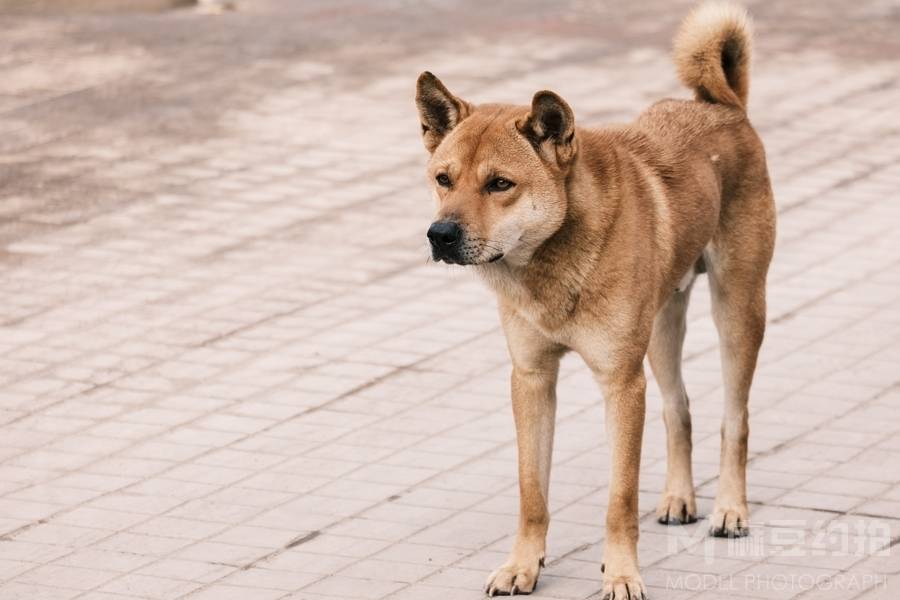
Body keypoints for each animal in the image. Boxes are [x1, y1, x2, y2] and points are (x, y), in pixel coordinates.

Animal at [414, 2, 772, 596]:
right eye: (444, 179)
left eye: (500, 184)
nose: (439, 235)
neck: (552, 261)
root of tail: (722, 107)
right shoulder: (532, 379)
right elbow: (531, 491)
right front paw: (523, 565)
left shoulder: (621, 385)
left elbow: (618, 499)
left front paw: (621, 573)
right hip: (663, 329)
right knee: (679, 409)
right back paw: (680, 498)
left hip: (738, 311)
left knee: (734, 418)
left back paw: (729, 508)